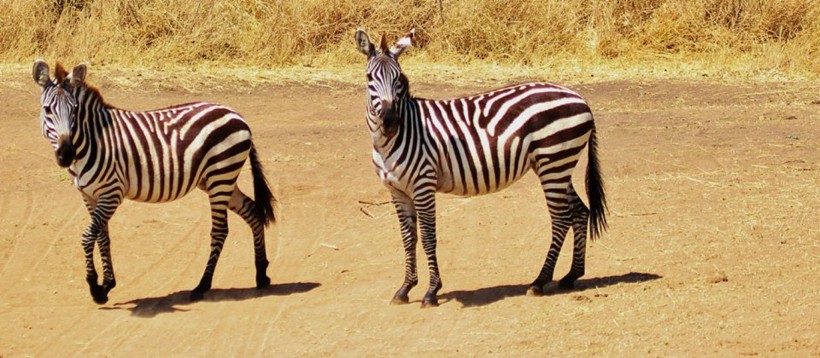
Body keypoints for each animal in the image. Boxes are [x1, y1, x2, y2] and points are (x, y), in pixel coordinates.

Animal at [32, 60, 278, 302]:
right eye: (47, 110)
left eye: (74, 111)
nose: (66, 154)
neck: (93, 140)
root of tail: (236, 114)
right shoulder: (89, 195)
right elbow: (101, 236)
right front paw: (107, 284)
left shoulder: (112, 193)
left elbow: (87, 236)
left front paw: (95, 287)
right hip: (218, 179)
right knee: (252, 211)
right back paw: (261, 273)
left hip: (221, 175)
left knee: (220, 230)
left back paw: (202, 286)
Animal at [354, 28, 608, 308]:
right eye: (369, 78)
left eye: (399, 78)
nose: (390, 122)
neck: (395, 138)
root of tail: (579, 97)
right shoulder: (397, 191)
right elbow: (408, 239)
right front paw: (405, 288)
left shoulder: (423, 184)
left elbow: (429, 237)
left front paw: (431, 291)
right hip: (558, 165)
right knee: (580, 212)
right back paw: (572, 275)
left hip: (554, 162)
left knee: (561, 219)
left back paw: (540, 281)